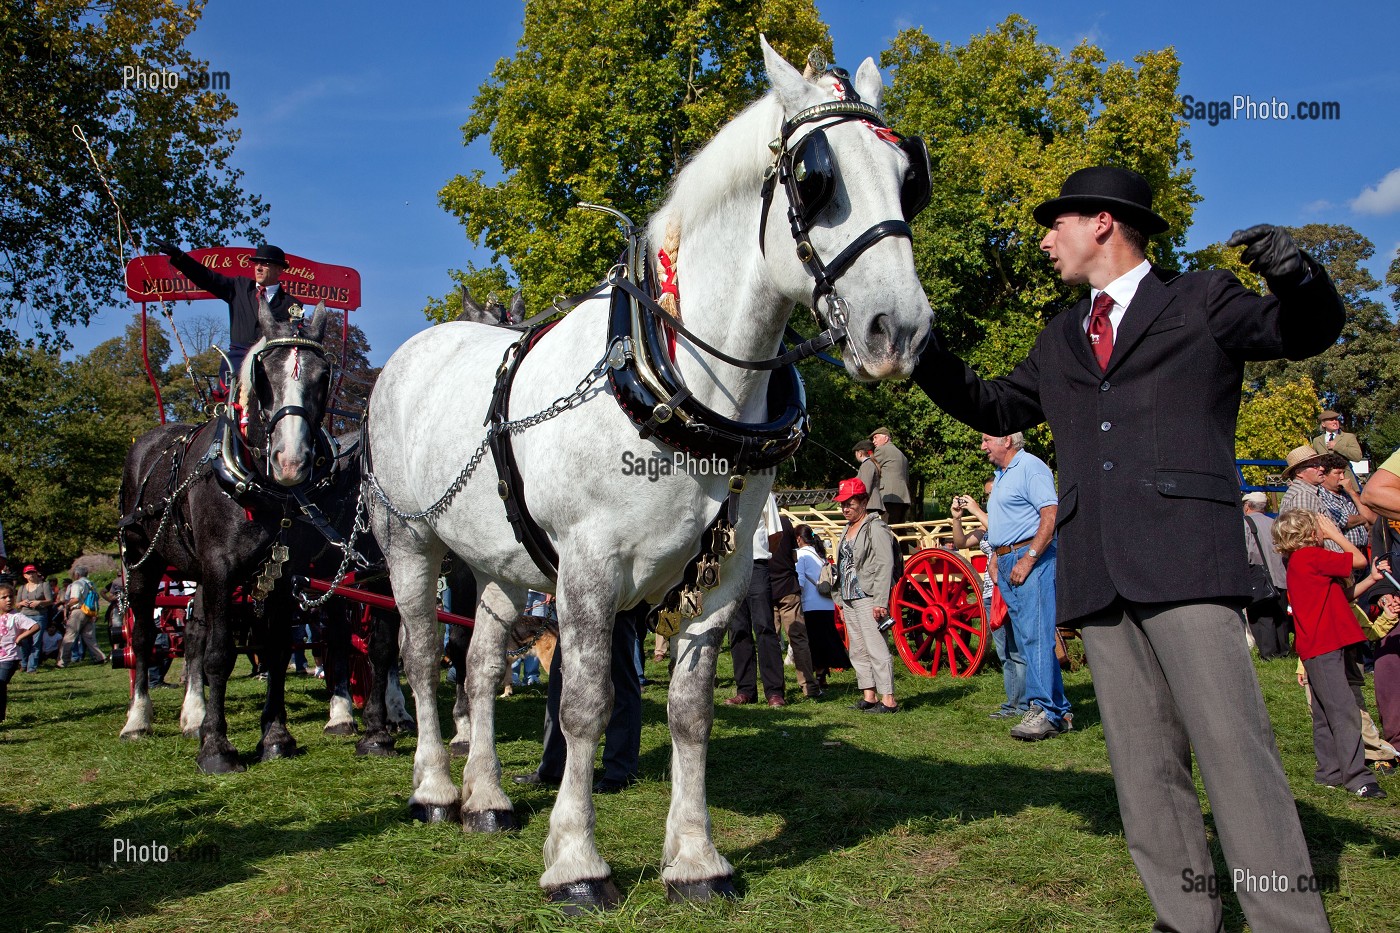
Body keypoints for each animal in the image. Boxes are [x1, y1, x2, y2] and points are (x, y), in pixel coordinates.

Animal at [118, 300, 358, 772]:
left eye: (324, 375)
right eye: (264, 373)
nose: (291, 461)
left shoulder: (284, 573)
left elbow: (277, 648)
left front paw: (276, 737)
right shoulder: (220, 567)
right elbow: (219, 654)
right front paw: (216, 746)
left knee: (194, 632)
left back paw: (191, 715)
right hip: (145, 562)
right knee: (145, 638)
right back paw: (140, 720)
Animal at [362, 38, 932, 909]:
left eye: (909, 178)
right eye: (816, 179)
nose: (900, 330)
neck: (675, 382)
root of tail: (409, 353)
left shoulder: (723, 574)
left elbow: (692, 712)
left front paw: (695, 858)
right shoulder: (590, 570)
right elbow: (585, 704)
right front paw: (575, 860)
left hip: (498, 561)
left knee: (483, 666)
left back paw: (486, 797)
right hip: (409, 542)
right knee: (425, 656)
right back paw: (433, 788)